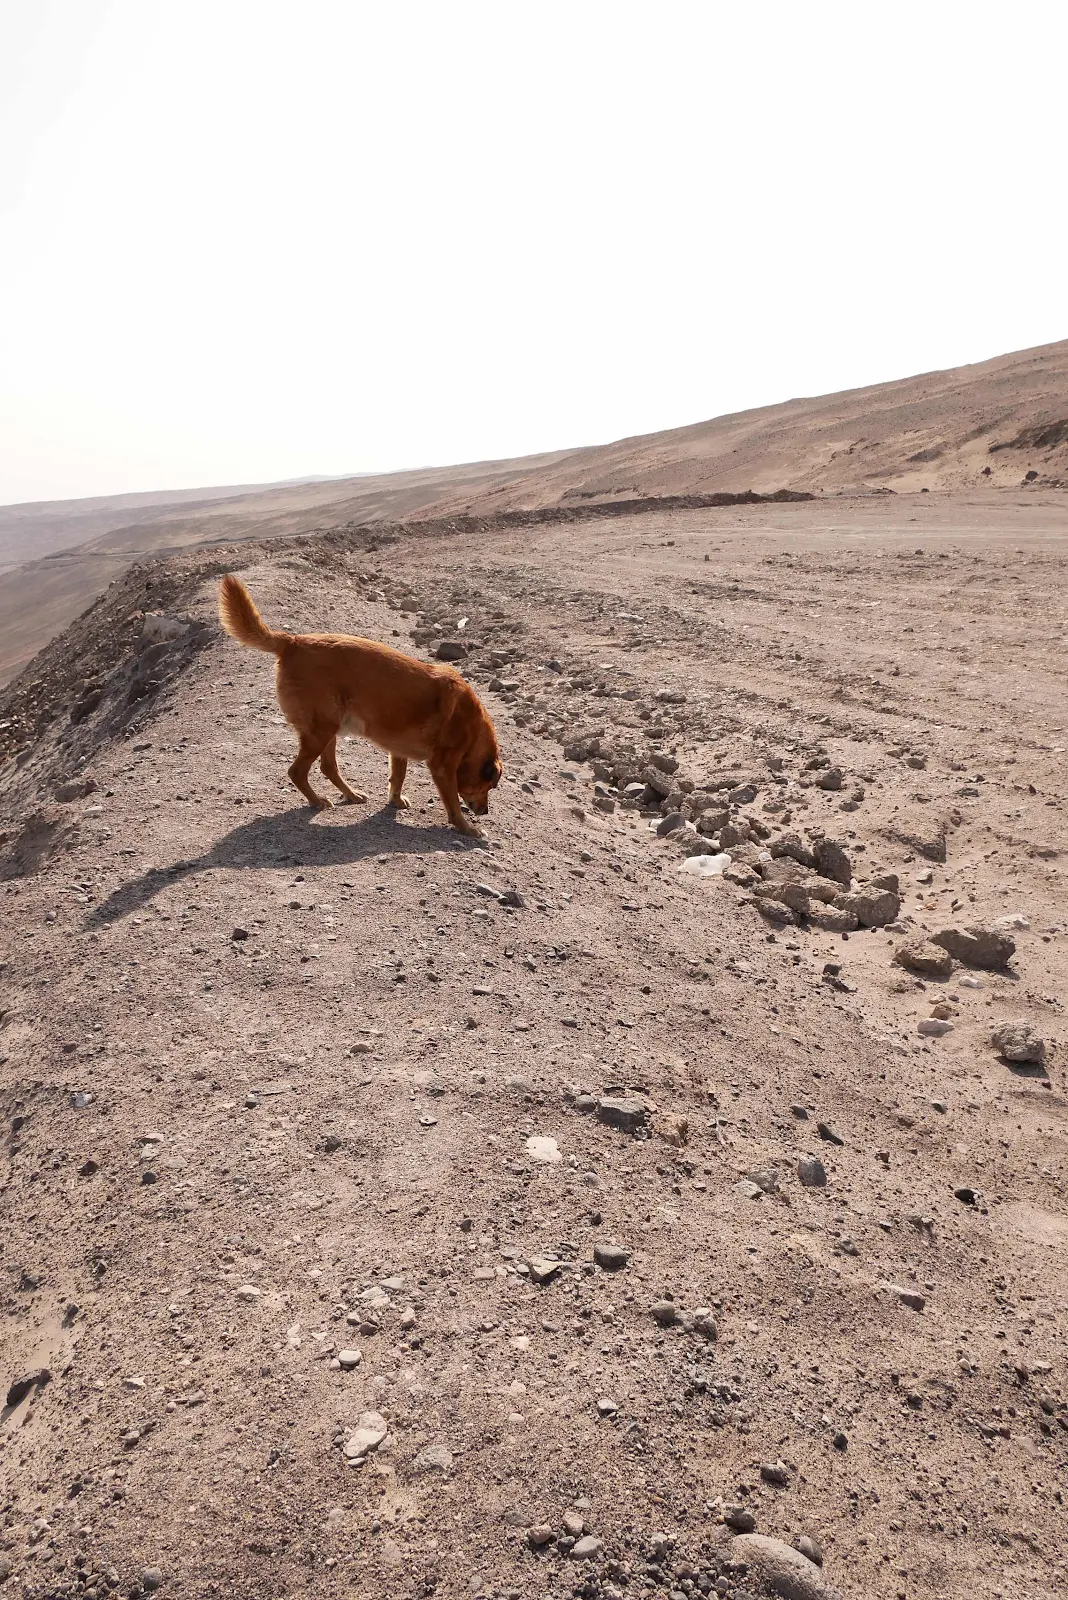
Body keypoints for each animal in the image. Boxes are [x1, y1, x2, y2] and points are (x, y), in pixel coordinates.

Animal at [217, 574, 502, 835]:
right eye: (489, 787)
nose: (485, 811)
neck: (472, 727)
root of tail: (293, 641)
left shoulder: (397, 750)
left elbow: (398, 776)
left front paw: (395, 800)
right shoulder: (442, 767)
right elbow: (452, 802)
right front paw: (467, 828)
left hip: (328, 728)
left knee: (327, 766)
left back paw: (351, 794)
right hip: (320, 730)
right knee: (297, 771)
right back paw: (317, 801)